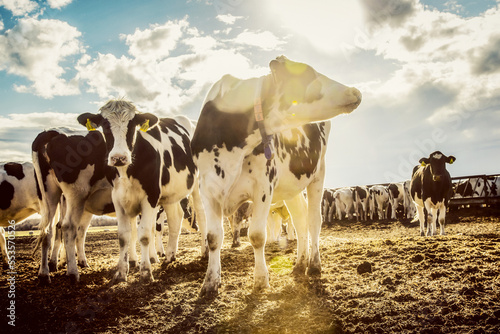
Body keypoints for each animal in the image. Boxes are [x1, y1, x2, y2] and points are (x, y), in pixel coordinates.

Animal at [77, 100, 206, 284]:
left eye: (132, 126)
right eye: (105, 127)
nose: (119, 158)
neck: (127, 172)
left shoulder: (151, 196)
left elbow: (144, 234)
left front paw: (145, 272)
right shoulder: (118, 198)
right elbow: (124, 236)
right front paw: (121, 272)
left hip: (197, 185)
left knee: (201, 216)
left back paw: (205, 251)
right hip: (171, 194)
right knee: (175, 219)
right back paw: (170, 256)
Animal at [190, 56, 360, 296]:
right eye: (309, 73)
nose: (355, 91)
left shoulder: (263, 186)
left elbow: (256, 236)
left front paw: (261, 279)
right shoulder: (208, 187)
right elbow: (214, 237)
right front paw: (210, 283)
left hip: (318, 173)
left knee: (314, 220)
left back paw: (314, 264)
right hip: (291, 186)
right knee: (300, 219)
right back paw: (299, 263)